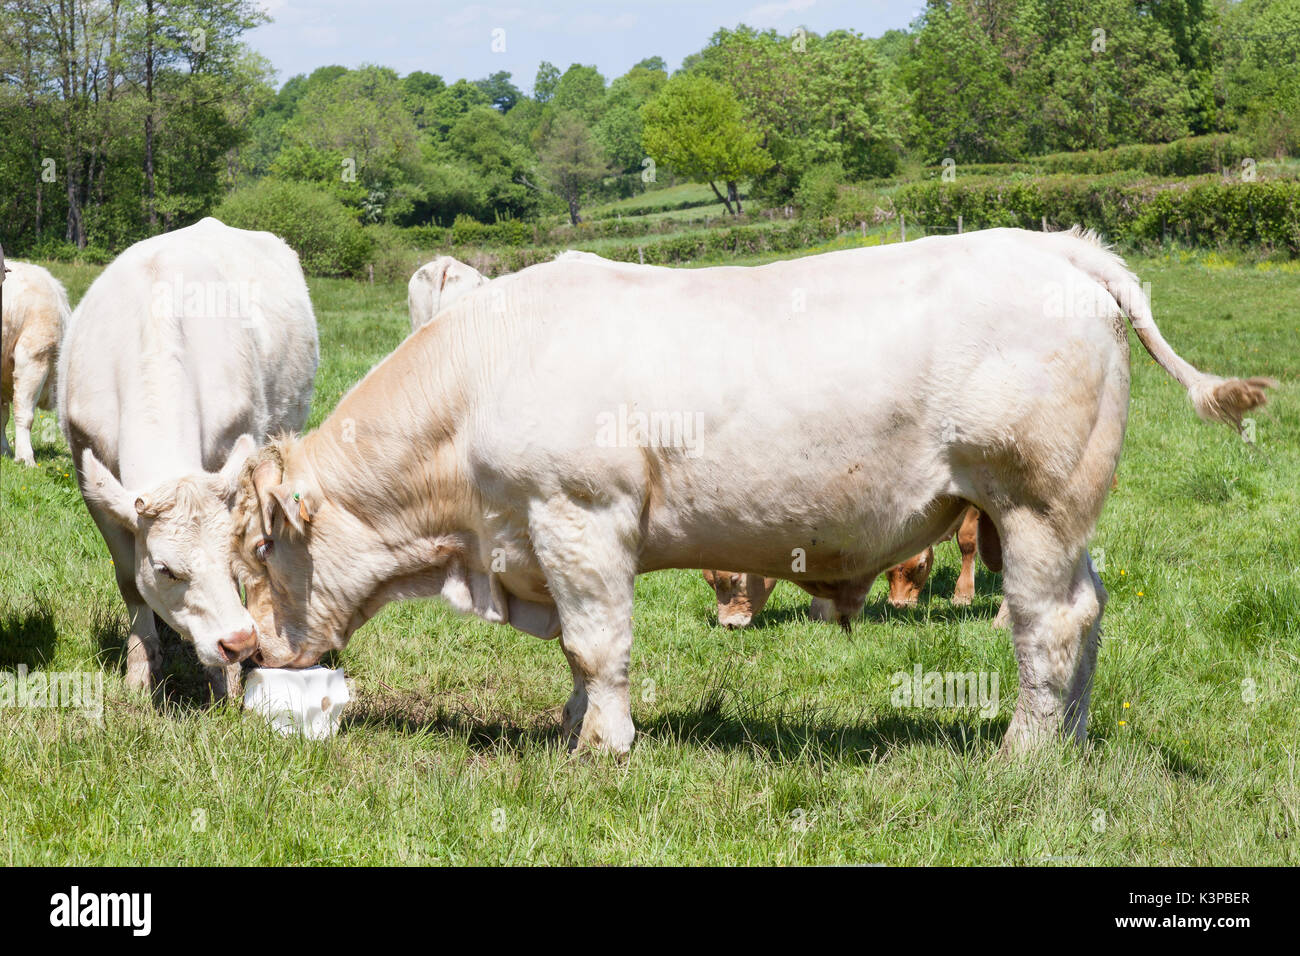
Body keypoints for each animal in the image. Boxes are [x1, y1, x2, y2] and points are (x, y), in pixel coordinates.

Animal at [62, 218, 321, 697]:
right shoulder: (93, 486)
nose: (238, 642)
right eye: (165, 569)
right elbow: (129, 580)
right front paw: (140, 669)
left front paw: (227, 681)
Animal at [223, 230, 1268, 754]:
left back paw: (1026, 749)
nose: (242, 649)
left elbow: (598, 643)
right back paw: (1077, 738)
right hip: (1063, 516)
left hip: (1033, 503)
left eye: (263, 547)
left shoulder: (580, 517)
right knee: (1089, 611)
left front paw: (602, 746)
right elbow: (575, 650)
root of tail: (1063, 247)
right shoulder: (541, 537)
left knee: (1046, 624)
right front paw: (571, 725)